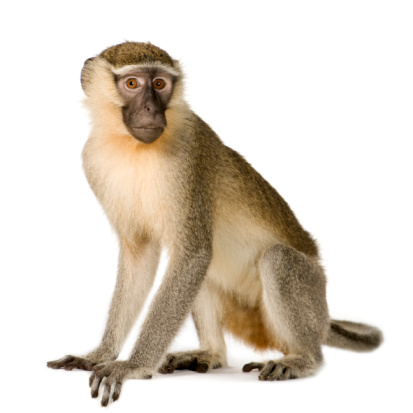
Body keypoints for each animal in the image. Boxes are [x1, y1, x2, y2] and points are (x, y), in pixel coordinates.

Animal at [48, 41, 384, 406]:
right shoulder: (92, 160)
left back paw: (304, 359)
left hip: (310, 290)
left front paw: (133, 366)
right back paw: (211, 353)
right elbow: (142, 256)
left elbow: (192, 254)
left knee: (276, 259)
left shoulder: (187, 157)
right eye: (133, 84)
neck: (132, 146)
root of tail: (323, 318)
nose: (151, 109)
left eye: (160, 84)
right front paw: (100, 354)